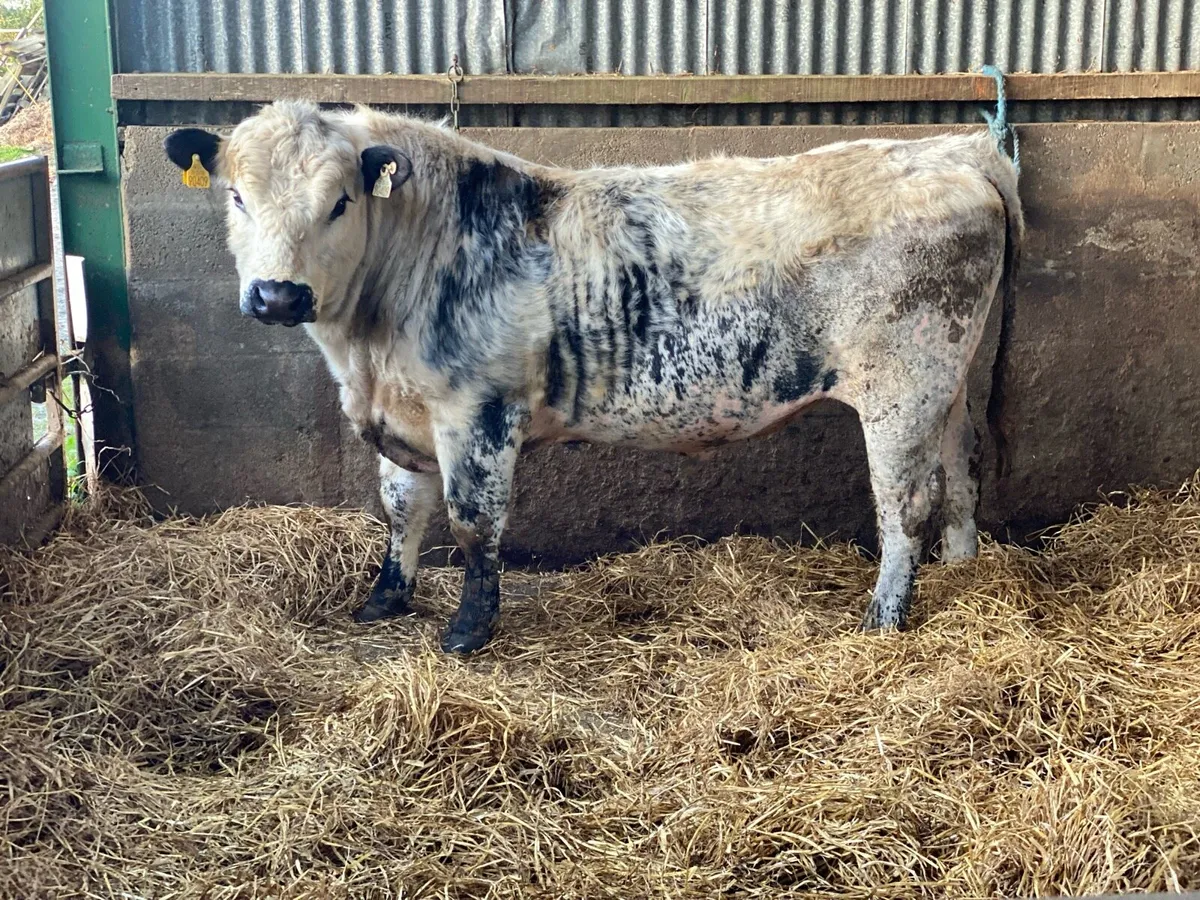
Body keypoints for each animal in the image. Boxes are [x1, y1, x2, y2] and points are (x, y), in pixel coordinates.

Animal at [164, 101, 1022, 655]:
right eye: (235, 195)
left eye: (340, 201)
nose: (278, 295)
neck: (367, 350)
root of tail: (950, 152)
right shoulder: (404, 417)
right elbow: (401, 510)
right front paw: (383, 599)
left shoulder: (478, 413)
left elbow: (473, 524)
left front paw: (467, 632)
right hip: (947, 384)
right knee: (963, 475)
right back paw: (966, 572)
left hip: (902, 386)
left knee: (905, 504)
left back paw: (884, 617)